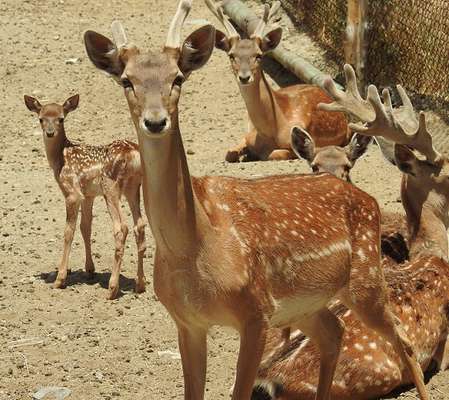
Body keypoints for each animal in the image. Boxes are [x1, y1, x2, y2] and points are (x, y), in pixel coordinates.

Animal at [23, 94, 146, 300]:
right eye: (41, 118)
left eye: (61, 118)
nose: (50, 132)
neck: (61, 158)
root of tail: (133, 154)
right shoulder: (88, 195)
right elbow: (85, 227)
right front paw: (90, 270)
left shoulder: (73, 193)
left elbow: (68, 232)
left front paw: (60, 279)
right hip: (134, 187)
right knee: (140, 225)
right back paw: (140, 285)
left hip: (111, 187)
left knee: (122, 228)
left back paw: (112, 289)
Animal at [203, 0, 350, 162]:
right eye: (231, 55)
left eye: (259, 55)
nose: (244, 77)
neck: (271, 130)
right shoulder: (248, 135)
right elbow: (229, 154)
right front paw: (245, 153)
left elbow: (272, 154)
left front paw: (250, 155)